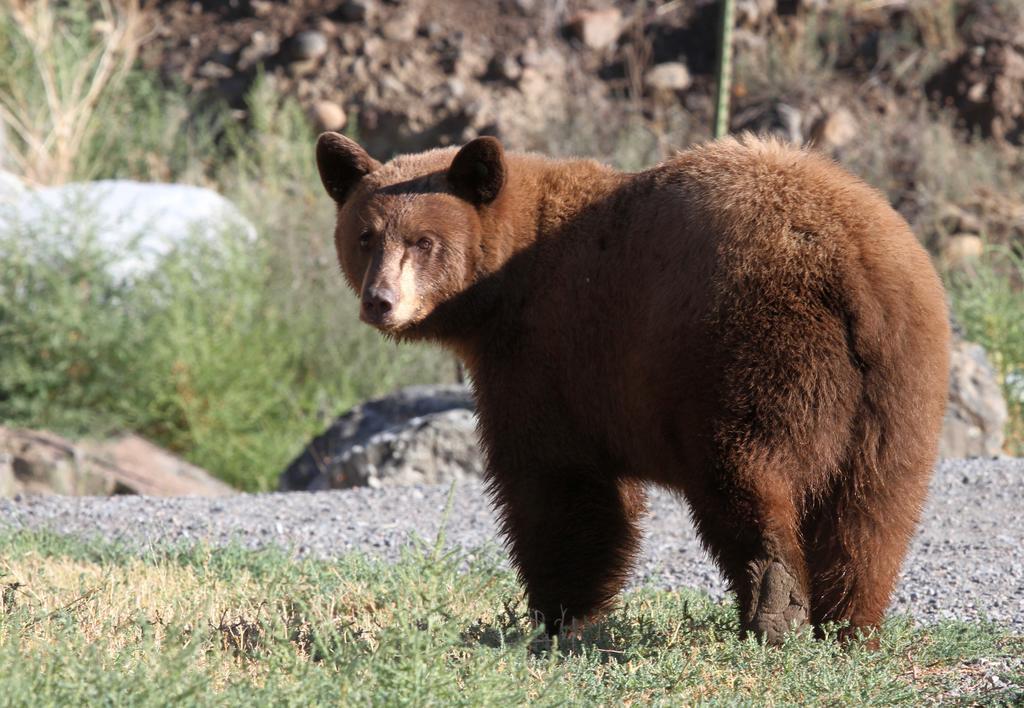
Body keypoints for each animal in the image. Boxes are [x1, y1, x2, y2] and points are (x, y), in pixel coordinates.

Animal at [313, 130, 950, 643]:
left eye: (423, 241)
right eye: (366, 236)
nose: (379, 301)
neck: (504, 287)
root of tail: (850, 265)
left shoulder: (550, 355)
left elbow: (558, 486)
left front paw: (556, 615)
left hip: (752, 351)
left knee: (746, 472)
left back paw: (775, 608)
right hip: (903, 381)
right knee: (875, 510)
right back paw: (848, 625)